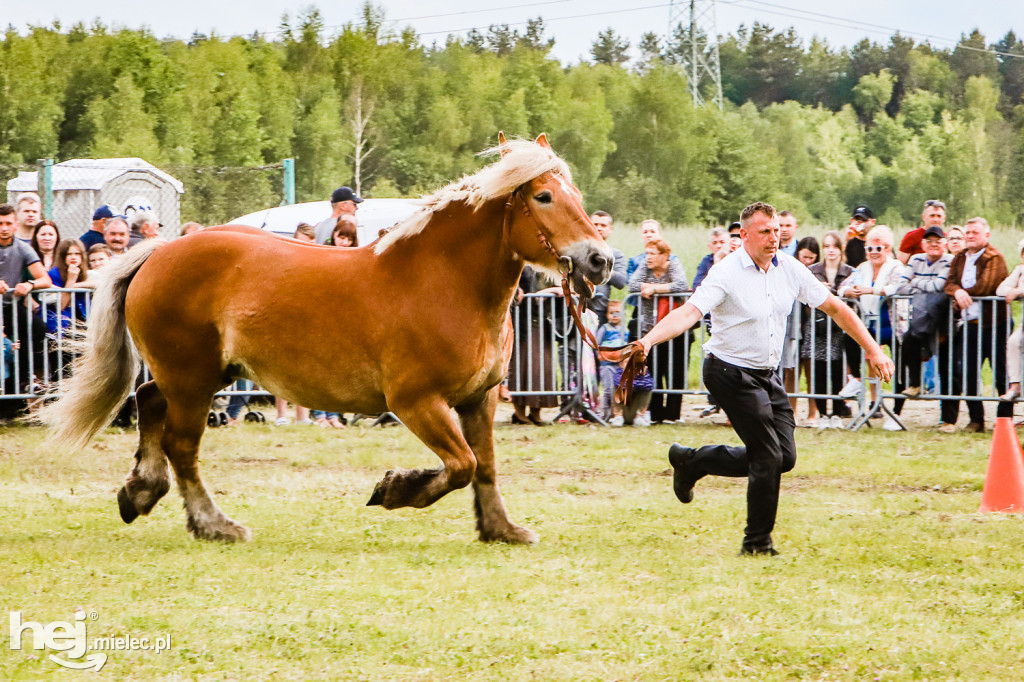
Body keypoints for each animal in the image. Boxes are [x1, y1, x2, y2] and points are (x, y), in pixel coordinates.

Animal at [41, 135, 606, 544]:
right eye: (544, 196)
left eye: (578, 198)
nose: (600, 260)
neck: (443, 281)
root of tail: (158, 252)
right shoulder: (417, 403)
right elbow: (461, 465)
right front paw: (395, 490)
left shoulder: (479, 399)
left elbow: (484, 465)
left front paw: (500, 529)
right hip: (193, 381)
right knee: (181, 446)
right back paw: (214, 524)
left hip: (199, 376)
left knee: (148, 401)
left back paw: (140, 491)